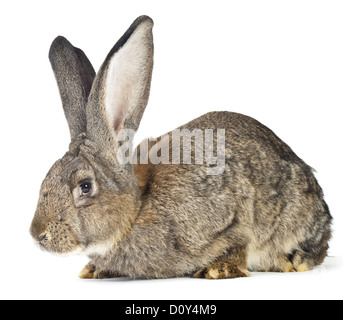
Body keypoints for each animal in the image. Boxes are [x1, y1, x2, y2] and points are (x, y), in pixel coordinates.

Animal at [30, 16, 334, 278]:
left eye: (85, 186)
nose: (37, 235)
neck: (137, 208)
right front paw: (94, 271)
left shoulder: (232, 212)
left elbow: (238, 241)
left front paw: (218, 270)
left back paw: (293, 261)